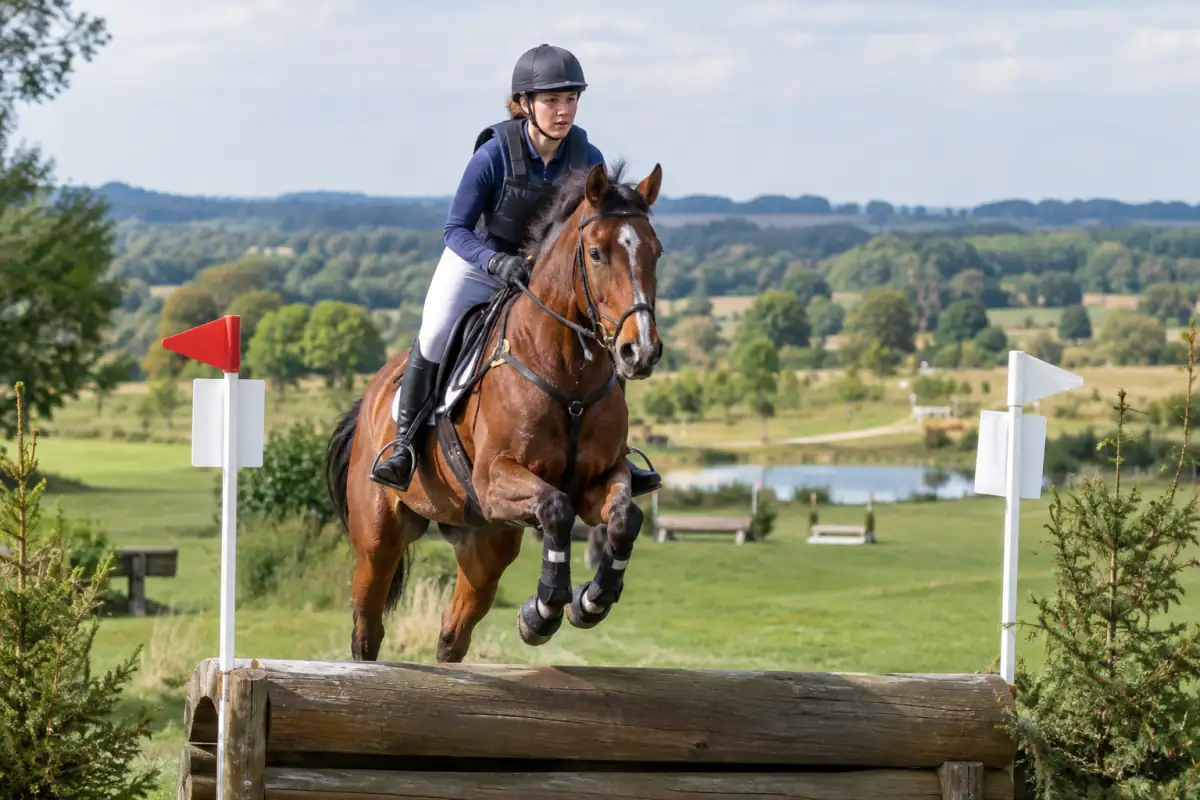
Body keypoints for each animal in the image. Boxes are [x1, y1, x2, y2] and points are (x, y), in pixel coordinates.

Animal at [324, 160, 665, 663]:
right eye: (597, 254)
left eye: (656, 252)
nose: (639, 351)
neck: (569, 373)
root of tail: (371, 397)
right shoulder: (494, 479)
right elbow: (556, 508)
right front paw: (545, 608)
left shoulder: (600, 478)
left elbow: (623, 517)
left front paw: (587, 601)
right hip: (377, 536)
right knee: (367, 627)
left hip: (486, 541)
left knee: (453, 634)